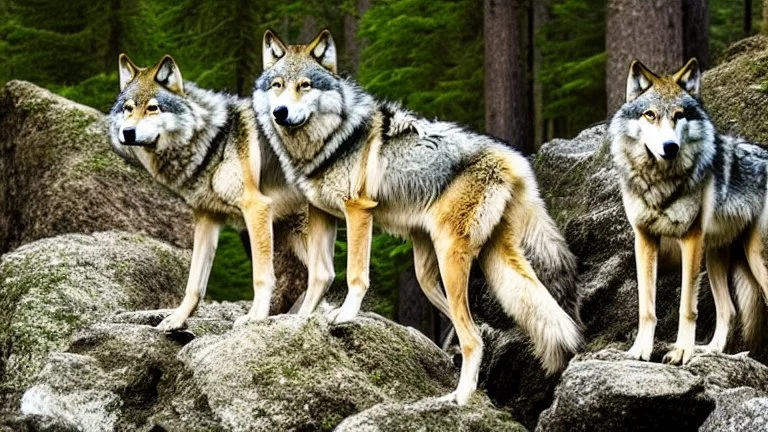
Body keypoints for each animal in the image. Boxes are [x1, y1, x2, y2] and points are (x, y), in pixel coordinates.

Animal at [107, 54, 336, 330]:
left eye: (153, 108)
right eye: (128, 108)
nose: (127, 133)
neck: (214, 141)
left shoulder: (256, 208)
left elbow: (262, 276)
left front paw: (256, 318)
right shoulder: (207, 218)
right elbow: (194, 283)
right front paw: (176, 319)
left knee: (325, 274)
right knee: (324, 274)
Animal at [252, 29, 584, 404]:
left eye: (305, 85)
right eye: (277, 85)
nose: (280, 112)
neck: (331, 141)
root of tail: (514, 157)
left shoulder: (358, 211)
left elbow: (355, 275)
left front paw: (344, 316)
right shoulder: (321, 214)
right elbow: (320, 277)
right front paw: (302, 321)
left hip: (450, 258)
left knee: (474, 337)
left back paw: (459, 399)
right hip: (444, 270)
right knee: (517, 319)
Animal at [612, 58, 768, 364]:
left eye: (679, 115)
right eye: (650, 115)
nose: (670, 147)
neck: (660, 183)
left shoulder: (690, 238)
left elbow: (687, 307)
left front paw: (682, 352)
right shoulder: (644, 239)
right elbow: (646, 308)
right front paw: (639, 351)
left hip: (755, 256)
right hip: (718, 257)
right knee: (729, 310)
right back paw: (715, 352)